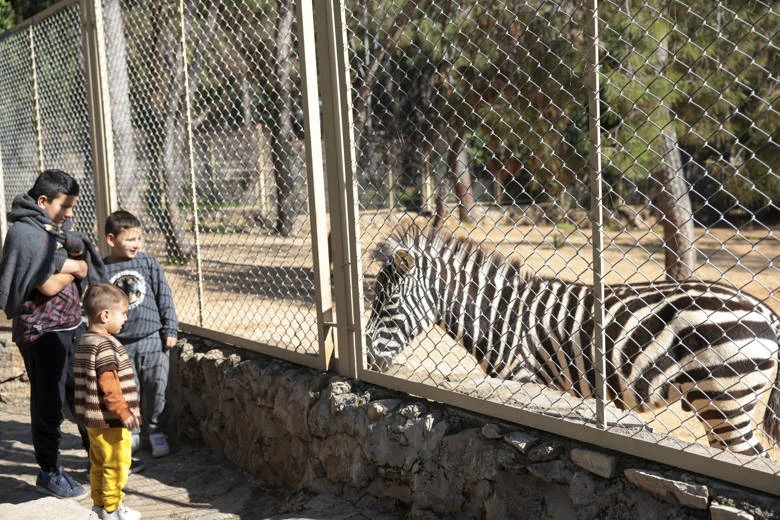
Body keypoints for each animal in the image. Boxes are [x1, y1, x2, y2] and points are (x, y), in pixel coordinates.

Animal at [368, 224, 780, 456]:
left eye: (387, 303)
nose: (368, 359)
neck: (503, 314)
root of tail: (765, 309)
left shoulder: (522, 381)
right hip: (722, 405)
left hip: (727, 399)